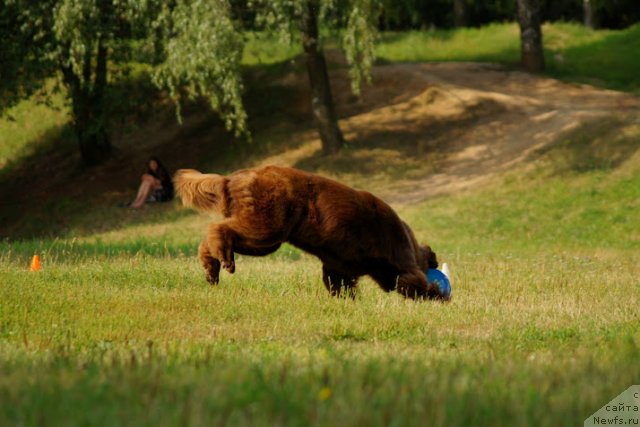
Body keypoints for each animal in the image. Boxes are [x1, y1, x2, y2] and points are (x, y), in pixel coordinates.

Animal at [174, 166, 444, 300]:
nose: (435, 262)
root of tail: (232, 178)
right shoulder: (398, 262)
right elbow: (411, 281)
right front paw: (438, 294)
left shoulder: (340, 266)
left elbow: (340, 284)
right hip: (268, 227)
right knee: (219, 228)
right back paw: (224, 260)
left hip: (265, 236)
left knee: (211, 237)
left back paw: (212, 269)